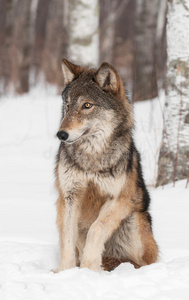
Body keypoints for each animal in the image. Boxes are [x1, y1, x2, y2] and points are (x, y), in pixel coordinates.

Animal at [54, 59, 158, 272]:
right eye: (67, 106)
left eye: (87, 105)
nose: (61, 134)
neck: (92, 157)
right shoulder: (69, 196)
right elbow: (67, 237)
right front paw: (66, 272)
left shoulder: (120, 199)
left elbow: (97, 228)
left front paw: (89, 268)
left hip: (136, 222)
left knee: (143, 262)